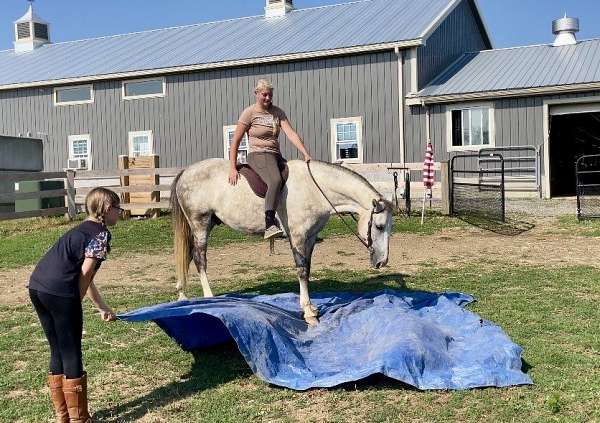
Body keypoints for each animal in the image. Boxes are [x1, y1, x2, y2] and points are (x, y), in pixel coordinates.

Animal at [169, 157, 394, 326]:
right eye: (379, 226)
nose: (382, 262)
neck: (314, 188)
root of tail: (186, 172)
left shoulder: (310, 238)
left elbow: (307, 269)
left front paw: (311, 307)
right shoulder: (298, 236)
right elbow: (301, 271)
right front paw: (308, 313)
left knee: (187, 256)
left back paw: (182, 295)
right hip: (200, 223)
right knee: (200, 258)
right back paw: (209, 297)